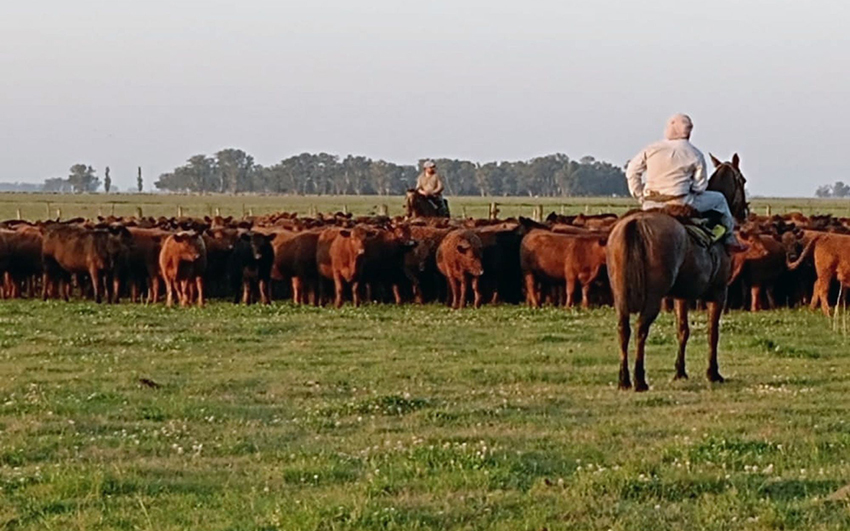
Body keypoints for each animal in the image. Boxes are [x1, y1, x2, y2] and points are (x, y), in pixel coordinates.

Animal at [606, 154, 754, 392]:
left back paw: (624, 380)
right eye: (743, 180)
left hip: (620, 294)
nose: (744, 212)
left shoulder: (681, 296)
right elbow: (713, 332)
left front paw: (680, 371)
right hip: (653, 297)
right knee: (641, 328)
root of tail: (636, 223)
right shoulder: (719, 293)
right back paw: (639, 380)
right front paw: (713, 373)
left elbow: (682, 330)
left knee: (624, 329)